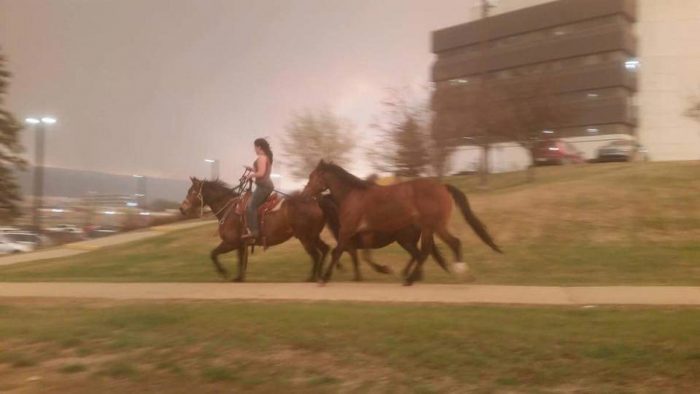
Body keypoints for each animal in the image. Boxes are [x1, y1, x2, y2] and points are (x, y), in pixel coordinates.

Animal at [180, 177, 328, 282]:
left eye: (192, 192)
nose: (182, 209)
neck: (231, 211)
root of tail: (315, 202)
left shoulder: (230, 243)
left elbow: (213, 254)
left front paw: (224, 272)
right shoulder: (240, 245)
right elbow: (240, 261)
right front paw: (238, 278)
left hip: (305, 237)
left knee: (316, 255)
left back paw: (312, 278)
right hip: (313, 236)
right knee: (324, 250)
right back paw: (320, 276)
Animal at [318, 194, 448, 280]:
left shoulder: (349, 244)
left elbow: (345, 255)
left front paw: (383, 269)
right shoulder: (350, 246)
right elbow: (346, 256)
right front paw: (356, 276)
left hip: (405, 241)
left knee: (417, 255)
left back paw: (413, 275)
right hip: (407, 241)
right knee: (416, 255)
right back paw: (408, 273)